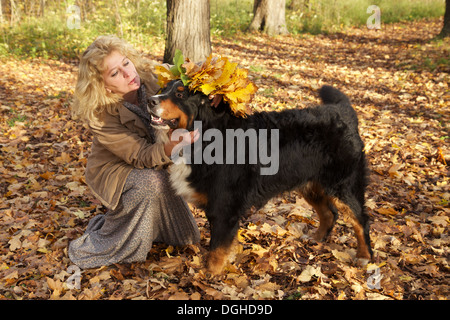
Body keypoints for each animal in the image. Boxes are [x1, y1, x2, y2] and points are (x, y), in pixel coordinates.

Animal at [149, 79, 372, 274]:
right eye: (163, 88)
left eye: (180, 94)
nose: (151, 100)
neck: (206, 134)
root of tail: (343, 111)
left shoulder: (224, 207)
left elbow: (217, 249)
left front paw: (210, 275)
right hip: (311, 185)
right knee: (329, 214)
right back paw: (316, 238)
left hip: (343, 186)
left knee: (360, 220)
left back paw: (364, 256)